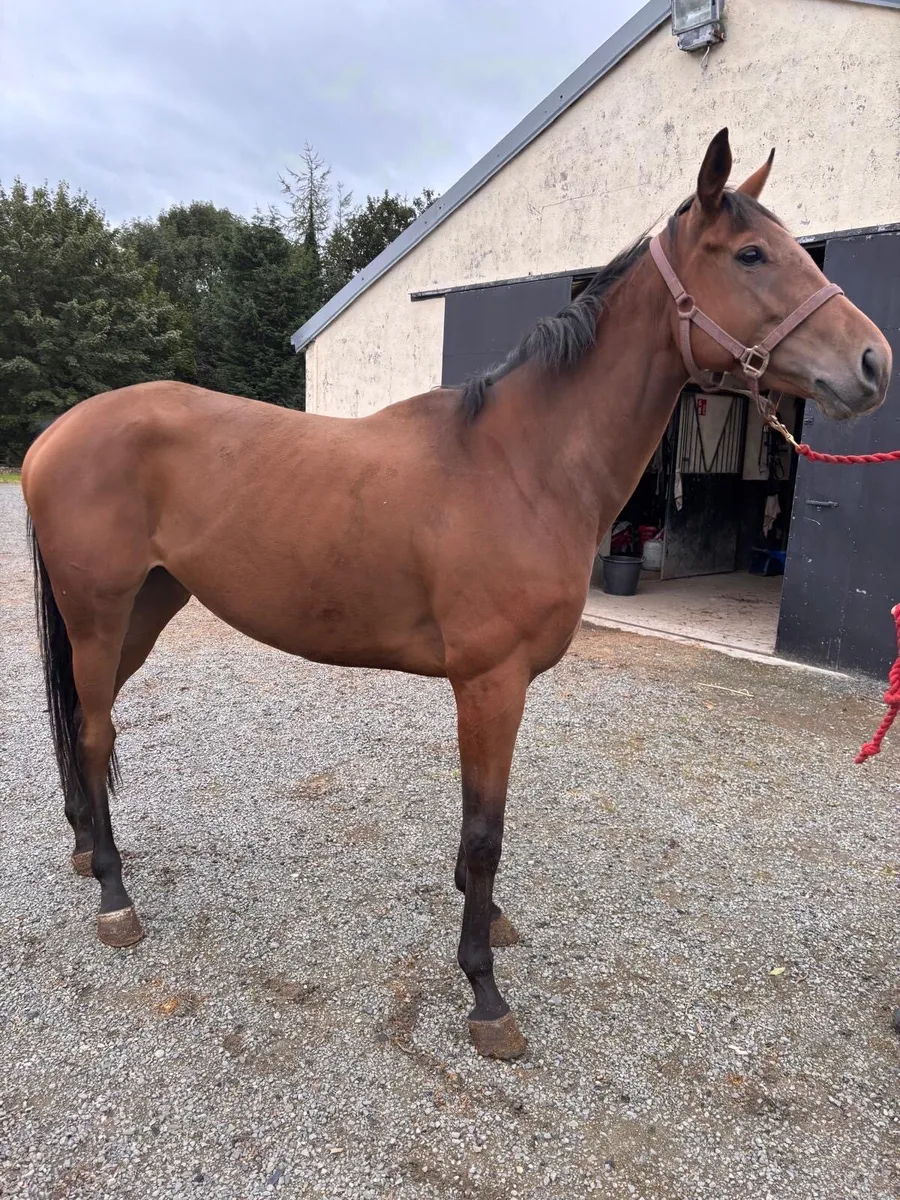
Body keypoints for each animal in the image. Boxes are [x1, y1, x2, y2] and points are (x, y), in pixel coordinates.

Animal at [21, 130, 891, 1059]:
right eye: (752, 254)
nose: (873, 362)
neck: (522, 463)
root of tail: (53, 436)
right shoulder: (490, 681)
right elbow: (485, 834)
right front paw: (484, 992)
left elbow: (482, 829)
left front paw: (489, 923)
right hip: (101, 613)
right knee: (96, 731)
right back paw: (115, 898)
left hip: (144, 609)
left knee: (88, 724)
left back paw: (85, 851)